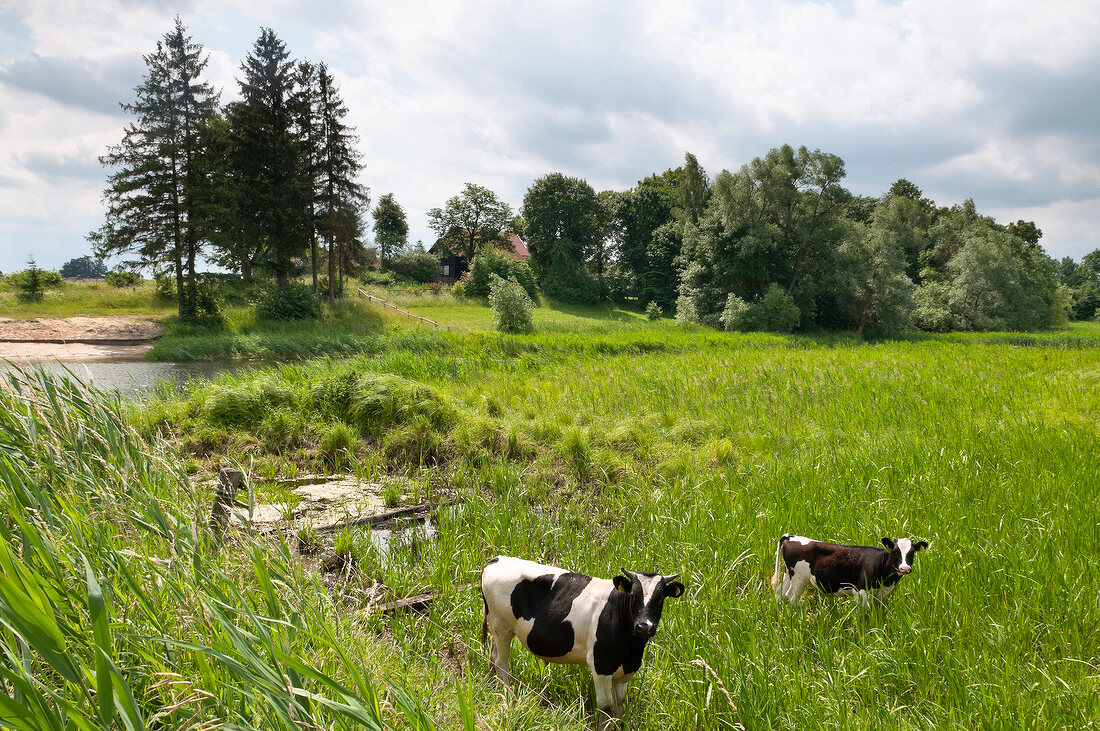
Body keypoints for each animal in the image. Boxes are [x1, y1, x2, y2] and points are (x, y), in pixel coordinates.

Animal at [479, 556, 682, 725]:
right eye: (633, 595)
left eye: (660, 599)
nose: (644, 626)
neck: (631, 649)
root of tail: (498, 559)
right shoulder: (600, 664)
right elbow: (605, 705)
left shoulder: (625, 670)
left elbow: (619, 704)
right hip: (502, 626)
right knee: (501, 664)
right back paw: (509, 697)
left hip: (497, 629)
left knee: (493, 656)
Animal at [774, 534, 928, 606]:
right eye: (896, 552)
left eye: (912, 553)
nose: (905, 568)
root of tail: (792, 537)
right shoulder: (860, 590)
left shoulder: (882, 594)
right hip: (799, 579)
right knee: (791, 597)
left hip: (788, 575)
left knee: (780, 592)